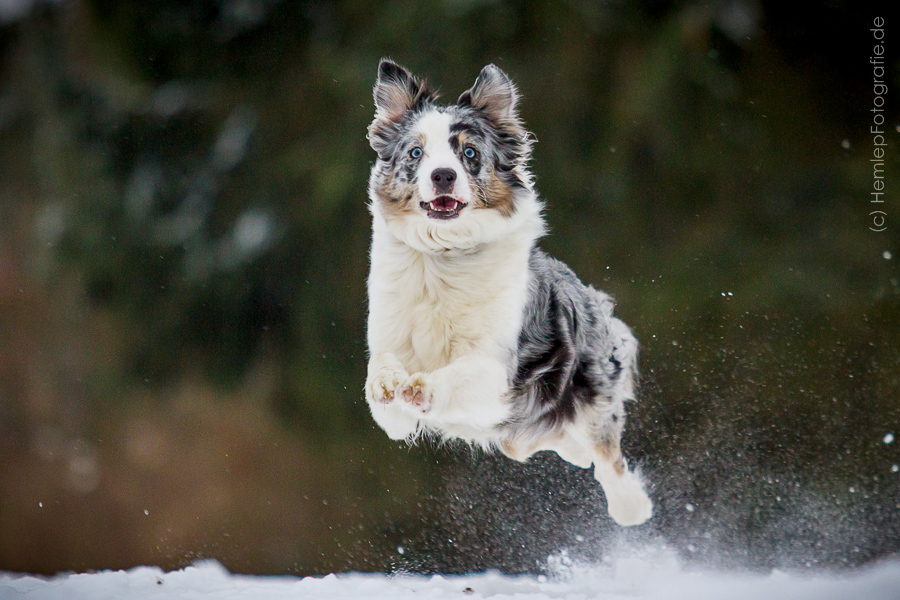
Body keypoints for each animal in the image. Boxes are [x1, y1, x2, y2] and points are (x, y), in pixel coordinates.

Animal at [362, 57, 652, 524]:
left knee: (606, 455)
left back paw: (632, 508)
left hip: (587, 389)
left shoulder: (498, 370)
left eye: (469, 153)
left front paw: (422, 387)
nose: (442, 176)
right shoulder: (393, 398)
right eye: (415, 153)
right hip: (520, 433)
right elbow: (383, 374)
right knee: (540, 444)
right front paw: (389, 382)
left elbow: (459, 372)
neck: (444, 255)